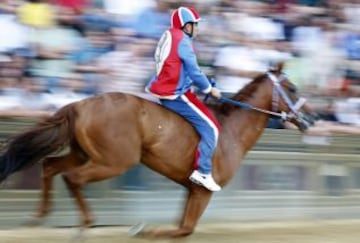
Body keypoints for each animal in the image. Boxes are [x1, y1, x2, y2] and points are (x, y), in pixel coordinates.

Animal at [0, 63, 310, 238]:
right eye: (293, 88)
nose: (312, 117)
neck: (230, 130)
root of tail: (80, 104)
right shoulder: (203, 191)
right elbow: (184, 229)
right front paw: (143, 229)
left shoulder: (191, 190)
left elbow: (183, 226)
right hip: (113, 161)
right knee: (73, 178)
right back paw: (85, 225)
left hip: (83, 154)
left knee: (50, 167)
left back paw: (38, 217)